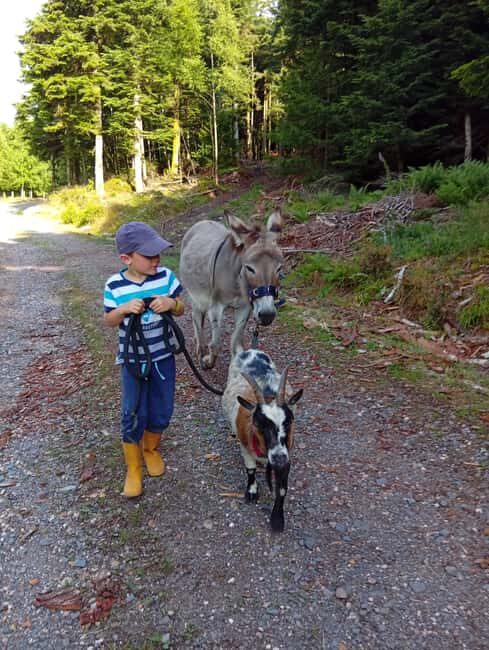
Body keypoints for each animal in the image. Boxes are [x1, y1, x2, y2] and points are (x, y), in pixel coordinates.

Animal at [222, 349, 303, 532]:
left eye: (288, 422)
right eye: (258, 423)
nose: (278, 458)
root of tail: (250, 350)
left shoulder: (287, 455)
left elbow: (282, 489)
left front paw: (277, 520)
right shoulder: (246, 448)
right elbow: (250, 470)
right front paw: (252, 492)